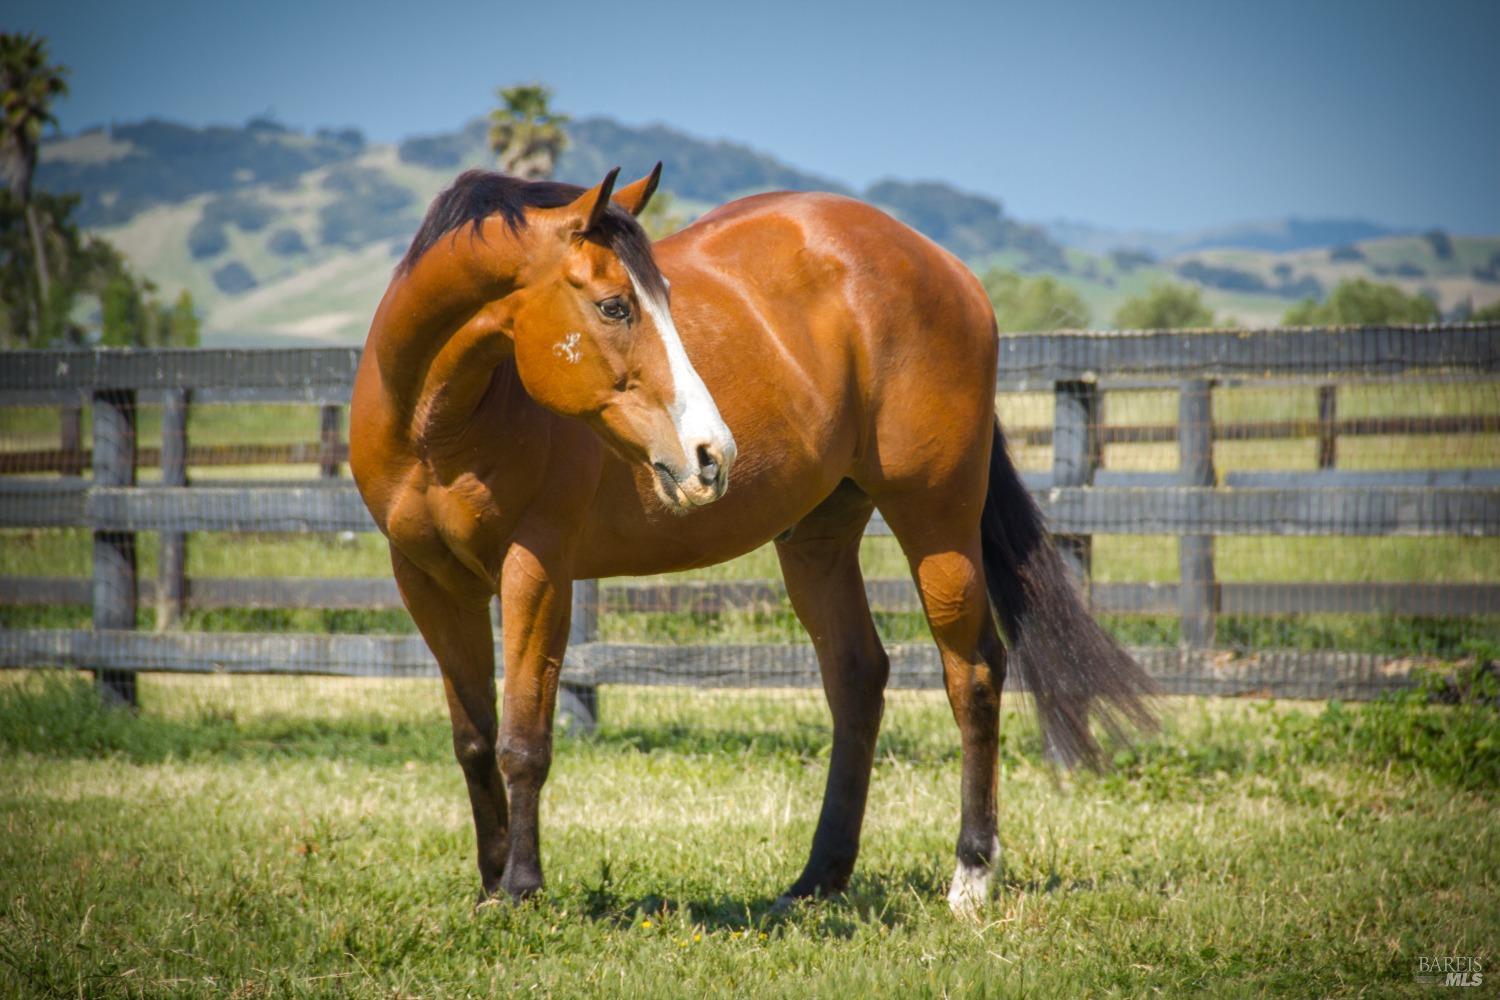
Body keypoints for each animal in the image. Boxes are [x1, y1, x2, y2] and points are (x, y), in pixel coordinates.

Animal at [348, 164, 1146, 917]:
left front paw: (520, 889)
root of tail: (944, 266)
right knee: (857, 677)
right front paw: (489, 886)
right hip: (818, 538)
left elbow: (523, 740)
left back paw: (971, 876)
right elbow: (474, 740)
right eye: (614, 305)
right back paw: (818, 880)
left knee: (973, 672)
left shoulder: (537, 571)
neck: (443, 423)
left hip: (936, 518)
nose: (711, 454)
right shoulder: (427, 581)